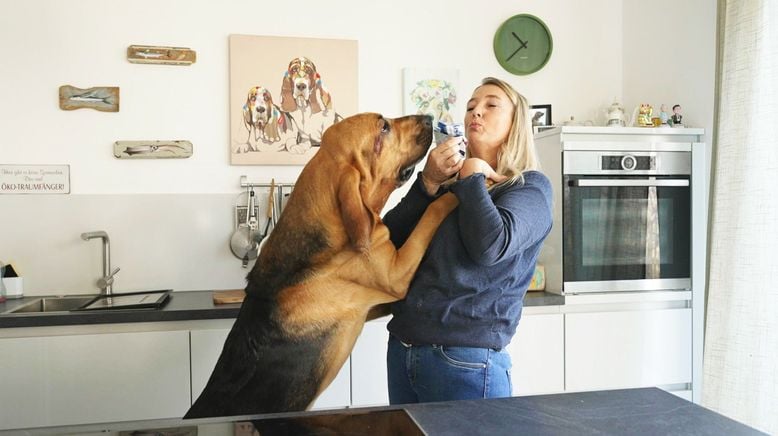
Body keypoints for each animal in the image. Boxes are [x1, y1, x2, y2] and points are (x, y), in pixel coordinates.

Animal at [185, 112, 458, 418]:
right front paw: (461, 187)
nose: (429, 117)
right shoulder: (396, 277)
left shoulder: (375, 306)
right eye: (384, 127)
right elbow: (432, 212)